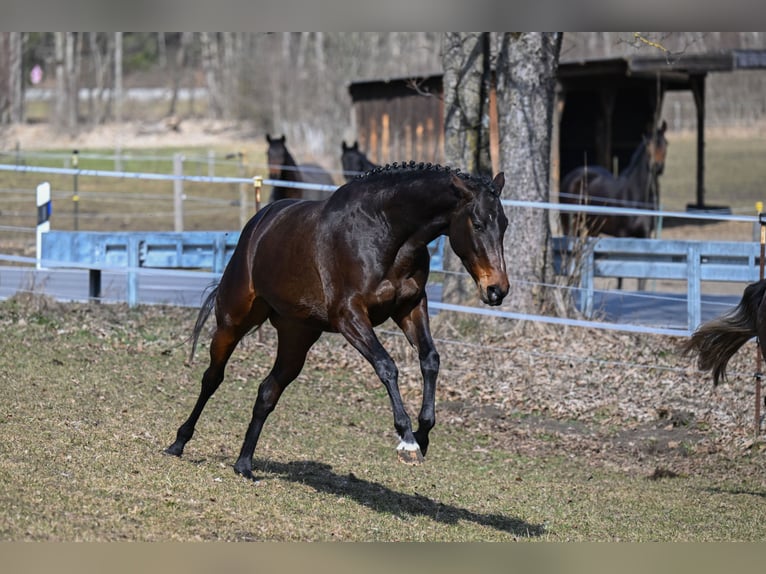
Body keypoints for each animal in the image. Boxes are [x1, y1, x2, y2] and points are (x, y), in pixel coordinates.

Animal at [164, 162, 510, 481]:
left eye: (504, 224)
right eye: (478, 223)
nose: (497, 290)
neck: (385, 232)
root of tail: (258, 225)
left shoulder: (410, 307)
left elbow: (430, 360)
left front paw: (423, 434)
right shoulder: (349, 316)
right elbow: (387, 366)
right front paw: (407, 441)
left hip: (297, 337)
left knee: (267, 392)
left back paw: (244, 465)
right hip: (233, 321)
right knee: (212, 378)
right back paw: (178, 443)